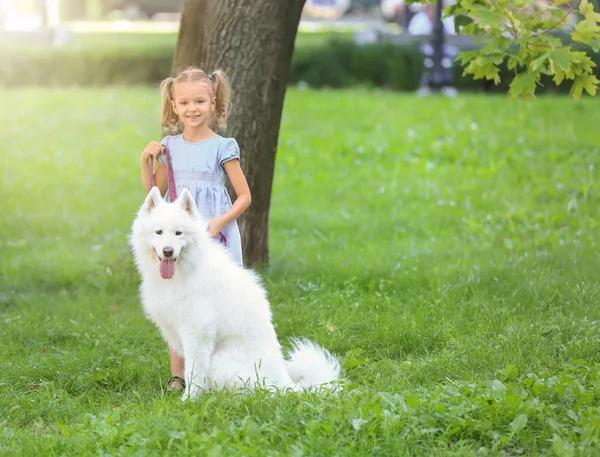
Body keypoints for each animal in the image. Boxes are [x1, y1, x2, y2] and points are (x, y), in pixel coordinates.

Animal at [129, 187, 340, 398]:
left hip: (218, 362)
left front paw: (189, 399)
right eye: (158, 232)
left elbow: (194, 371)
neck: (184, 273)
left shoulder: (197, 332)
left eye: (178, 233)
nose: (168, 251)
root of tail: (286, 384)